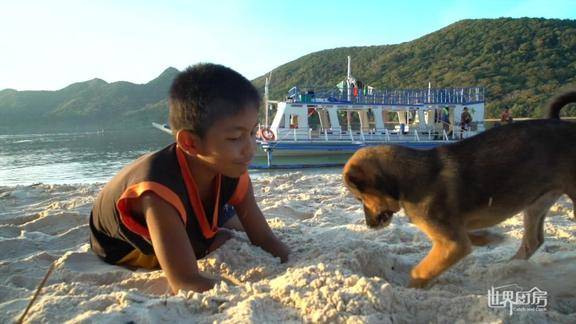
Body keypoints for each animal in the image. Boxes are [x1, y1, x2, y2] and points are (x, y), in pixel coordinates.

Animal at [344, 90, 572, 288]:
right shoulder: (454, 234)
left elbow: (420, 271)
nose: (368, 225)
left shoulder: (453, 244)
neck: (406, 179)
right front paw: (491, 237)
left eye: (359, 198)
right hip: (536, 202)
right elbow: (475, 236)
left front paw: (411, 290)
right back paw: (507, 269)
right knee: (533, 241)